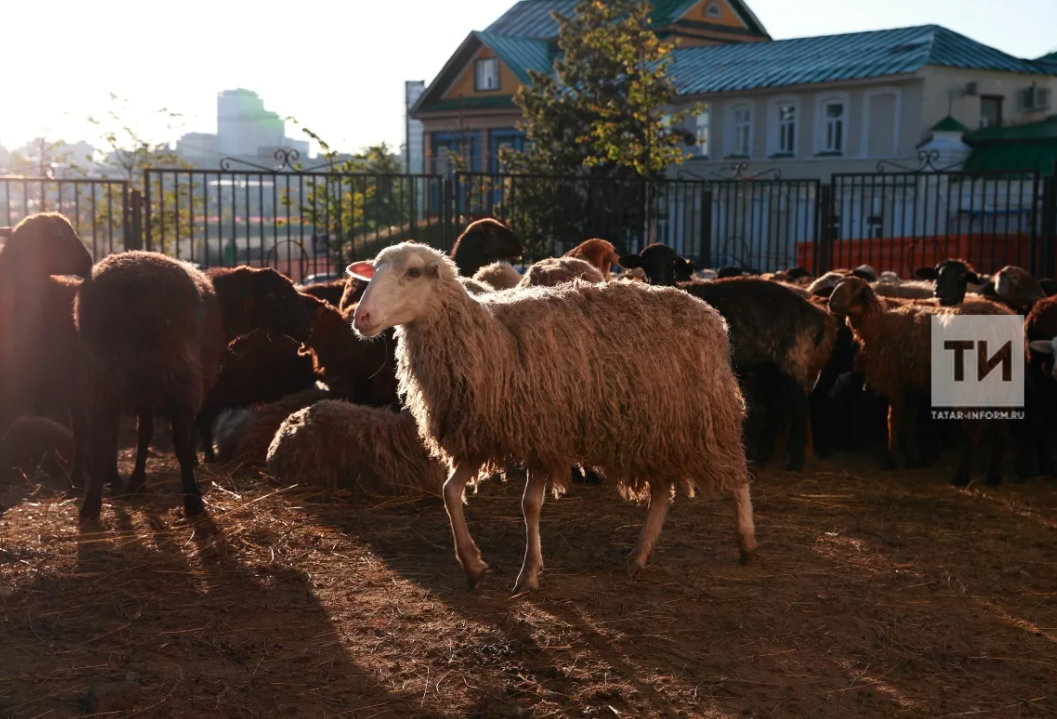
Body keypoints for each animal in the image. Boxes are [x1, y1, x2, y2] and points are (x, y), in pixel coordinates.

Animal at [350, 244, 756, 592]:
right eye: (374, 270)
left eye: (413, 272)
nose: (361, 318)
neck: (489, 337)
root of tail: (706, 310)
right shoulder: (481, 434)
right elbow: (450, 492)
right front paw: (473, 566)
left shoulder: (542, 434)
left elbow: (530, 505)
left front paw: (529, 574)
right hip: (655, 425)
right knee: (661, 493)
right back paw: (639, 555)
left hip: (708, 413)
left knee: (737, 476)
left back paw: (747, 542)